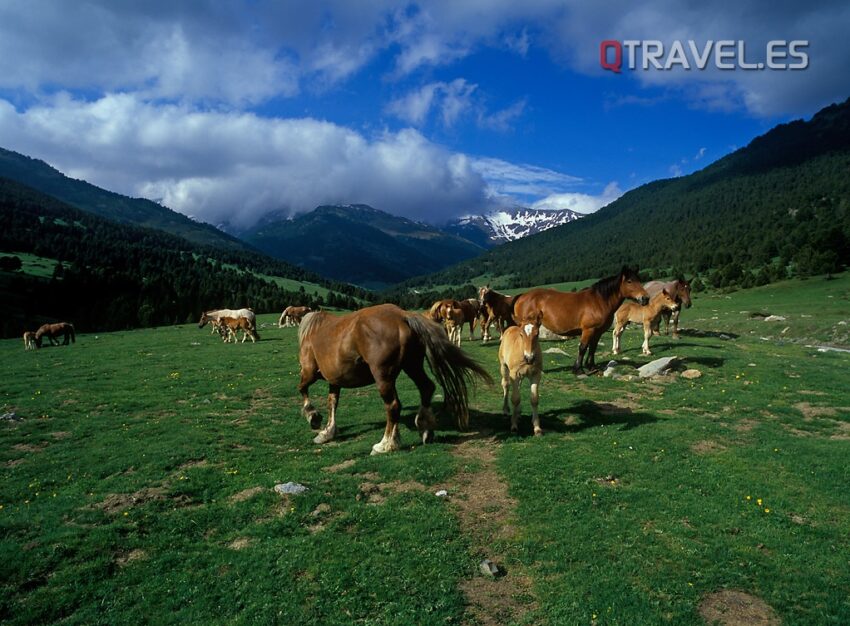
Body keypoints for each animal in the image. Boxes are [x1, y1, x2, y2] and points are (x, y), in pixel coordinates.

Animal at [296, 302, 490, 454]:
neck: (313, 331)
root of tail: (403, 316)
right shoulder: (335, 380)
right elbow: (332, 403)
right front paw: (327, 431)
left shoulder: (309, 373)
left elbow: (302, 389)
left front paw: (313, 416)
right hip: (412, 366)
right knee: (427, 388)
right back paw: (425, 428)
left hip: (384, 377)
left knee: (393, 406)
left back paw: (385, 444)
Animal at [510, 266, 648, 372]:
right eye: (629, 281)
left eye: (639, 280)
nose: (645, 298)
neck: (599, 301)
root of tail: (522, 296)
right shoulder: (588, 330)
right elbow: (583, 347)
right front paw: (578, 369)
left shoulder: (597, 332)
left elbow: (593, 348)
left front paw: (591, 366)